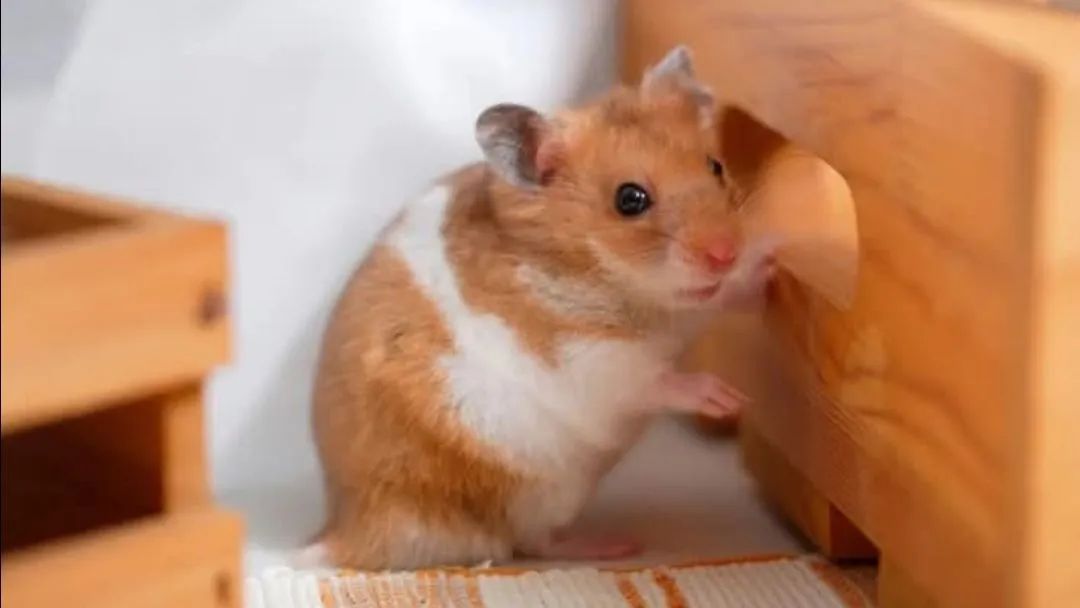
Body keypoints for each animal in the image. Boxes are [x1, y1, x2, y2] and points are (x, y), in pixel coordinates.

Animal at [309, 45, 776, 570]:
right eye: (629, 199)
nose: (725, 252)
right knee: (533, 541)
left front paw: (767, 270)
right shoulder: (590, 361)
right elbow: (652, 379)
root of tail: (345, 532)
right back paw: (615, 545)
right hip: (531, 492)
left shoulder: (688, 309)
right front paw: (726, 398)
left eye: (715, 166)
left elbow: (718, 298)